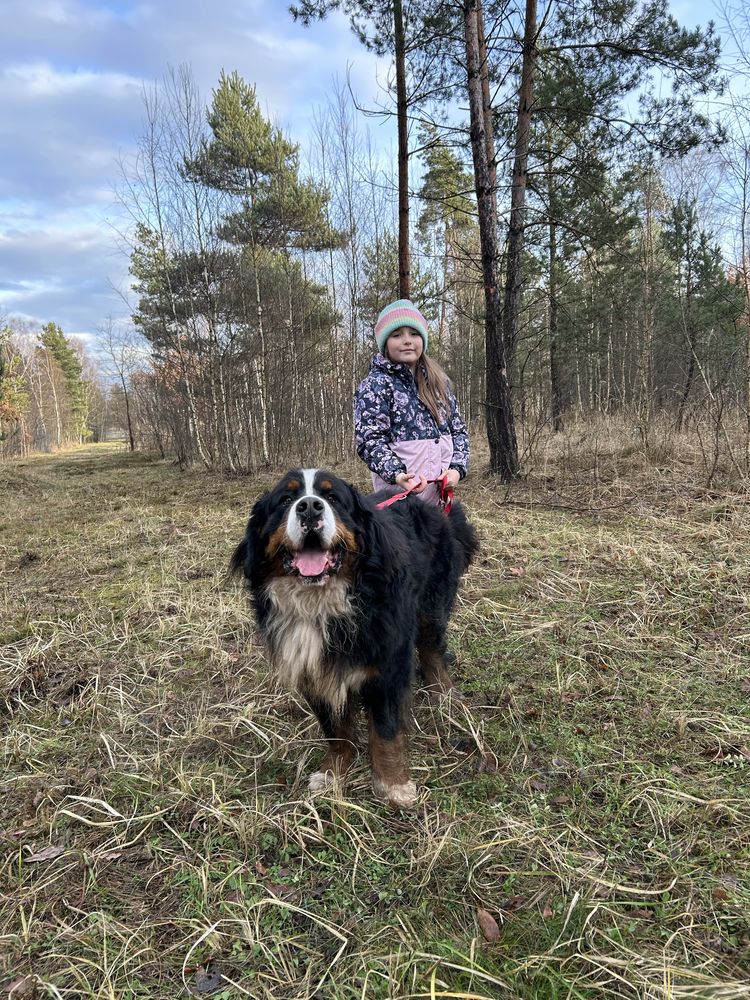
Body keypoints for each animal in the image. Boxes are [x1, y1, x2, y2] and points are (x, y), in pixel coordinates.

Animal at [229, 466, 478, 804]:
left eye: (333, 498)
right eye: (285, 500)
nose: (309, 507)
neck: (321, 603)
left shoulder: (386, 664)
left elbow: (386, 730)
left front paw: (393, 784)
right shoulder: (314, 667)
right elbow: (335, 729)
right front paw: (333, 772)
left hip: (432, 606)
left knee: (432, 651)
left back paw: (445, 694)